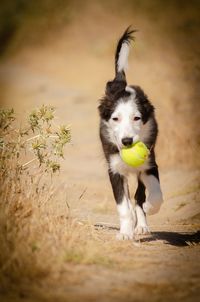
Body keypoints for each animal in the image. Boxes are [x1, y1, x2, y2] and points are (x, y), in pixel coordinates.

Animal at [97, 28, 163, 241]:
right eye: (115, 119)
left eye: (137, 118)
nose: (127, 141)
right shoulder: (115, 170)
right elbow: (123, 206)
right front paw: (125, 233)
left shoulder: (150, 164)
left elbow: (155, 194)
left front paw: (150, 207)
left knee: (139, 196)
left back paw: (142, 225)